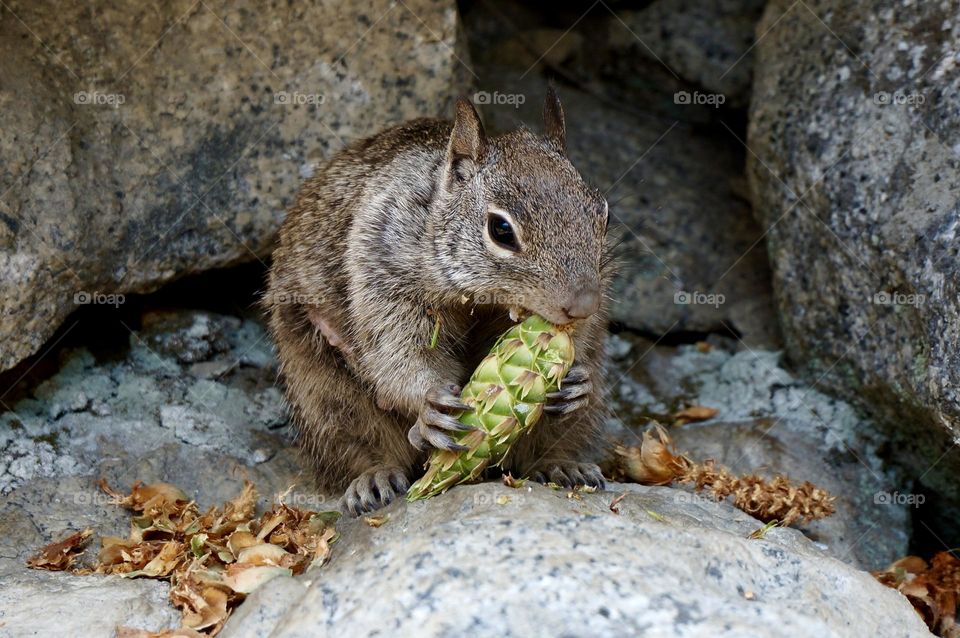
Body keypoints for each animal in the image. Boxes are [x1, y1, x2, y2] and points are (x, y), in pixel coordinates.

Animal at [266, 87, 612, 516]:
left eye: (603, 216)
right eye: (501, 230)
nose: (583, 305)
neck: (482, 300)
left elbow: (573, 343)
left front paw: (576, 380)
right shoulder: (384, 280)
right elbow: (399, 354)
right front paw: (430, 405)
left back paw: (563, 464)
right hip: (322, 393)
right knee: (355, 445)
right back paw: (372, 479)